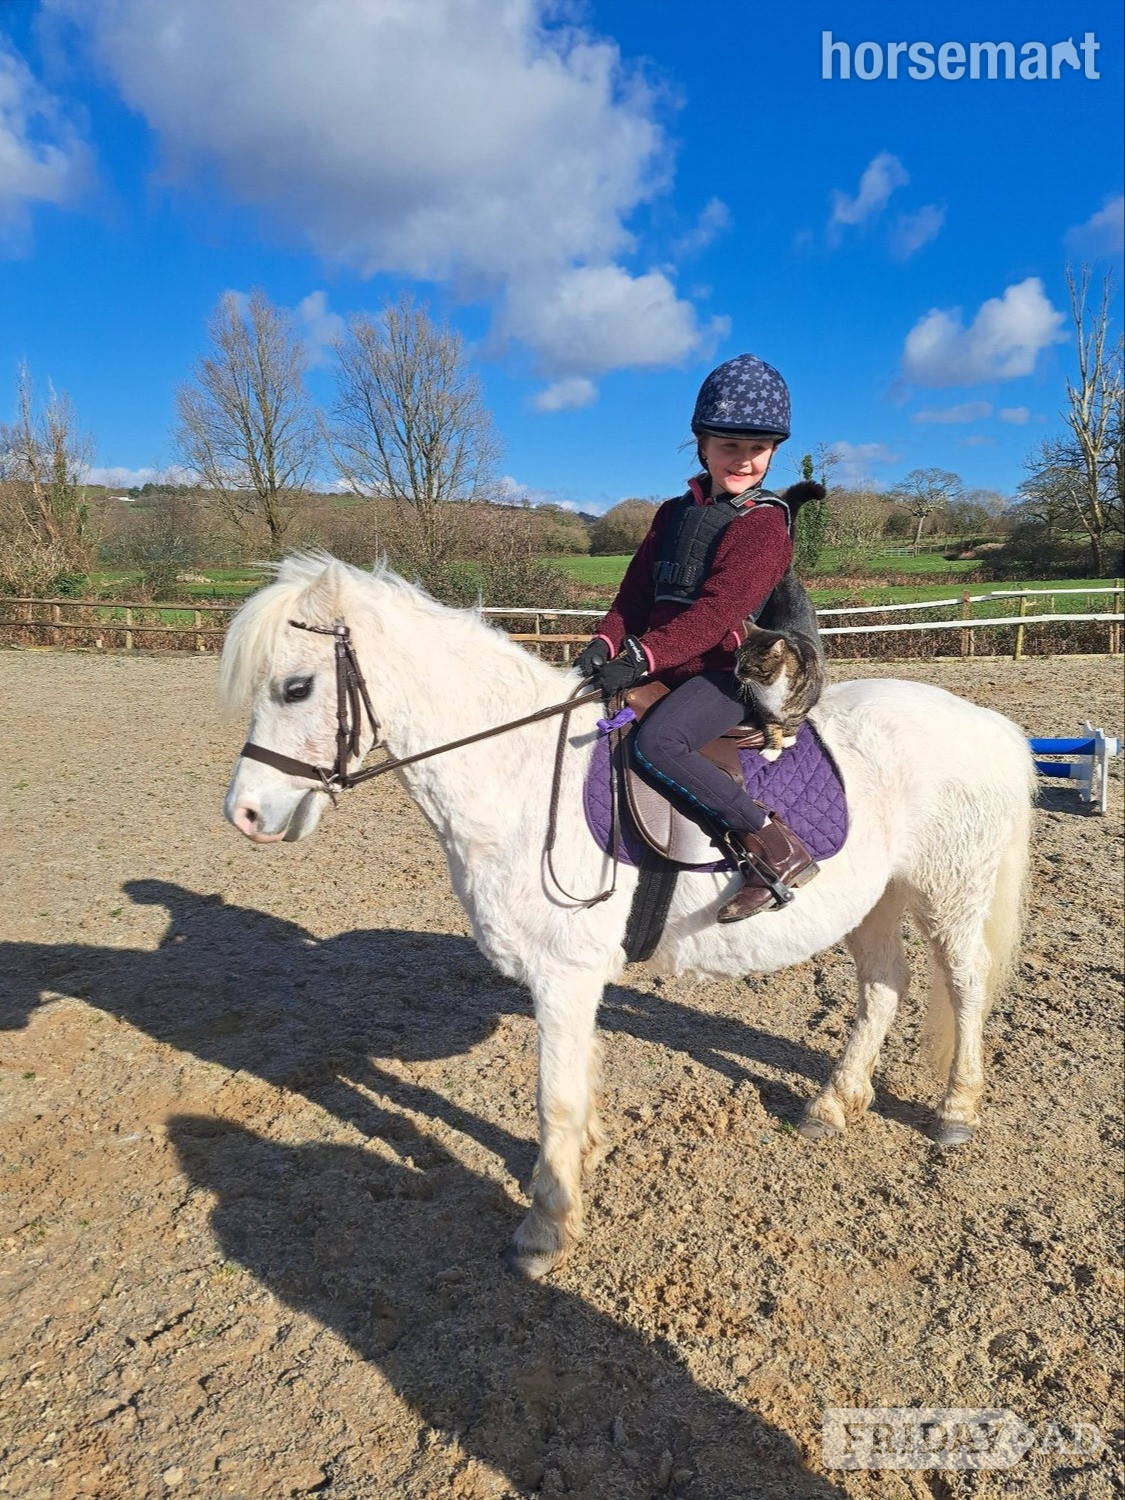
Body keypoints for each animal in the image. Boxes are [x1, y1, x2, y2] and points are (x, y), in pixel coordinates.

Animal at [220, 553, 1035, 1279]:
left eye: (296, 687)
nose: (245, 816)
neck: (519, 776)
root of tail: (990, 724)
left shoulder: (563, 974)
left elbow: (554, 1098)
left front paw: (545, 1228)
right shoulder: (568, 979)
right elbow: (579, 1081)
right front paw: (583, 1162)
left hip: (949, 891)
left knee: (963, 982)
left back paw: (956, 1110)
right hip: (877, 897)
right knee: (883, 986)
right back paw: (833, 1105)